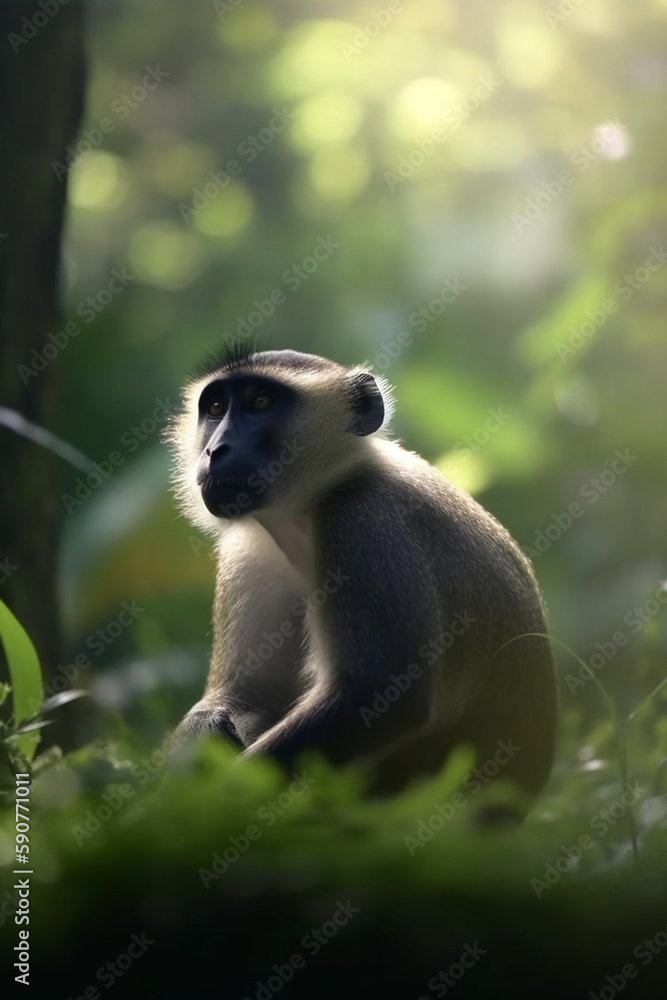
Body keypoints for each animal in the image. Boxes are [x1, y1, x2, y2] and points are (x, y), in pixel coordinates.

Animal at [168, 345, 556, 812]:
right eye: (215, 408)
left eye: (260, 402)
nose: (216, 449)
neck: (314, 505)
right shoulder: (250, 553)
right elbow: (246, 696)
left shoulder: (366, 523)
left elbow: (380, 695)